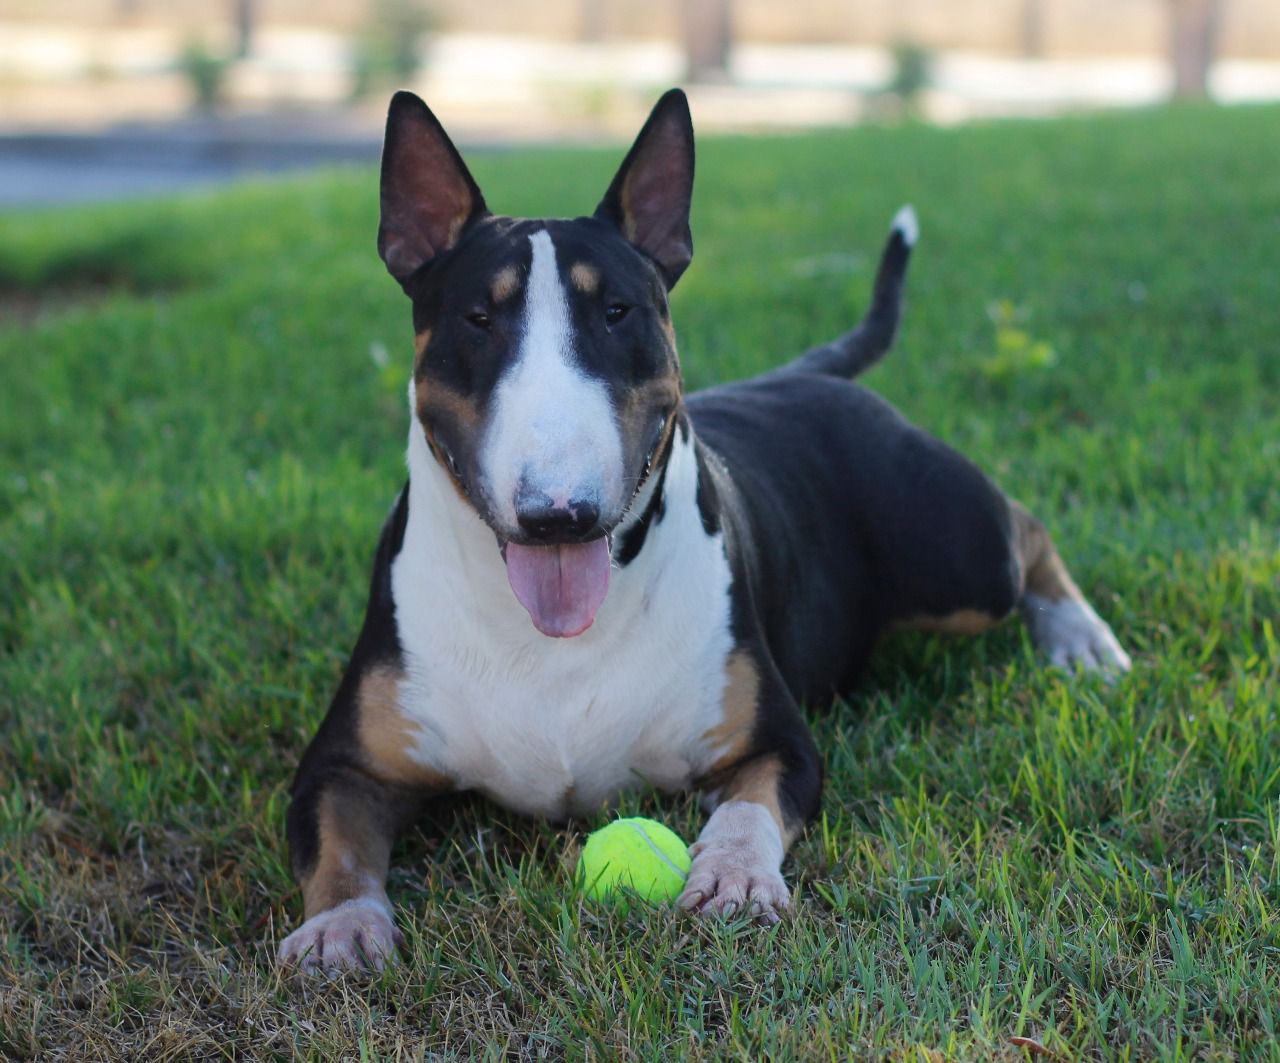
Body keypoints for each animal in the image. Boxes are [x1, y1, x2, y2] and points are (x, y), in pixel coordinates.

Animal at [280, 89, 1131, 973]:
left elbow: (751, 803)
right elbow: (336, 842)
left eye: (618, 311)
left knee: (1026, 532)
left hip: (956, 556)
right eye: (478, 316)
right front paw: (341, 930)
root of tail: (803, 373)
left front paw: (734, 876)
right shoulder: (341, 765)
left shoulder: (777, 739)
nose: (559, 514)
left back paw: (1083, 641)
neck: (550, 636)